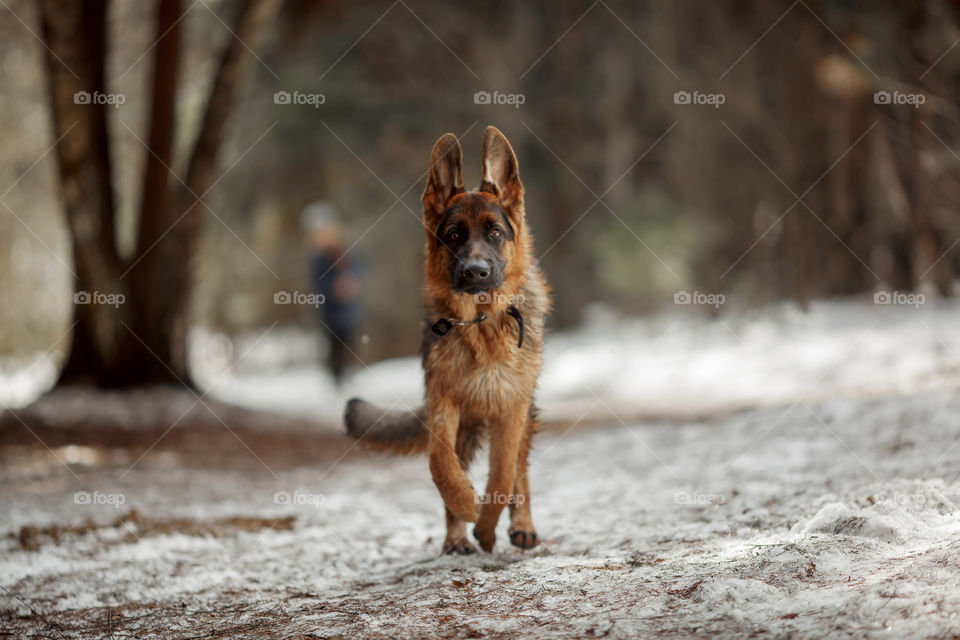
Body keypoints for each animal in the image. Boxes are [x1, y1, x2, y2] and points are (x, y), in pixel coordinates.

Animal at [346, 126, 552, 556]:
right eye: (455, 235)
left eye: (495, 233)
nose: (475, 272)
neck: (479, 324)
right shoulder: (444, 402)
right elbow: (440, 466)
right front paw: (467, 507)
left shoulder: (511, 408)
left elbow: (504, 473)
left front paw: (489, 527)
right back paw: (457, 536)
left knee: (519, 471)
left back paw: (520, 526)